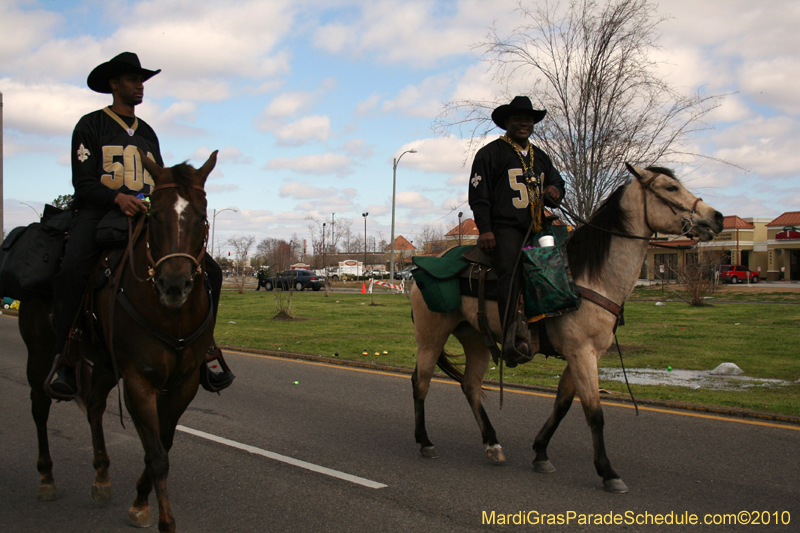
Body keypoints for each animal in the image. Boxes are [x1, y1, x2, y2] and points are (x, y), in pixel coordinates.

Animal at [18, 150, 219, 532]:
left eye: (201, 218)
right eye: (154, 216)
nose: (174, 285)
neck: (171, 314)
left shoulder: (183, 383)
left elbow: (163, 444)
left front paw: (140, 502)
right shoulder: (139, 380)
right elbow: (157, 455)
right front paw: (163, 520)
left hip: (104, 365)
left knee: (95, 406)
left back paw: (101, 476)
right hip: (40, 354)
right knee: (39, 406)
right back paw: (46, 478)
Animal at [412, 164, 724, 492]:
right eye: (670, 188)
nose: (716, 217)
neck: (588, 278)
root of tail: (420, 267)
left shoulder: (586, 354)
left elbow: (562, 404)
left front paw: (540, 453)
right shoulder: (581, 353)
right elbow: (594, 412)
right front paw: (608, 472)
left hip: (475, 339)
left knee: (470, 386)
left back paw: (492, 443)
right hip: (431, 337)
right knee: (421, 383)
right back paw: (425, 442)